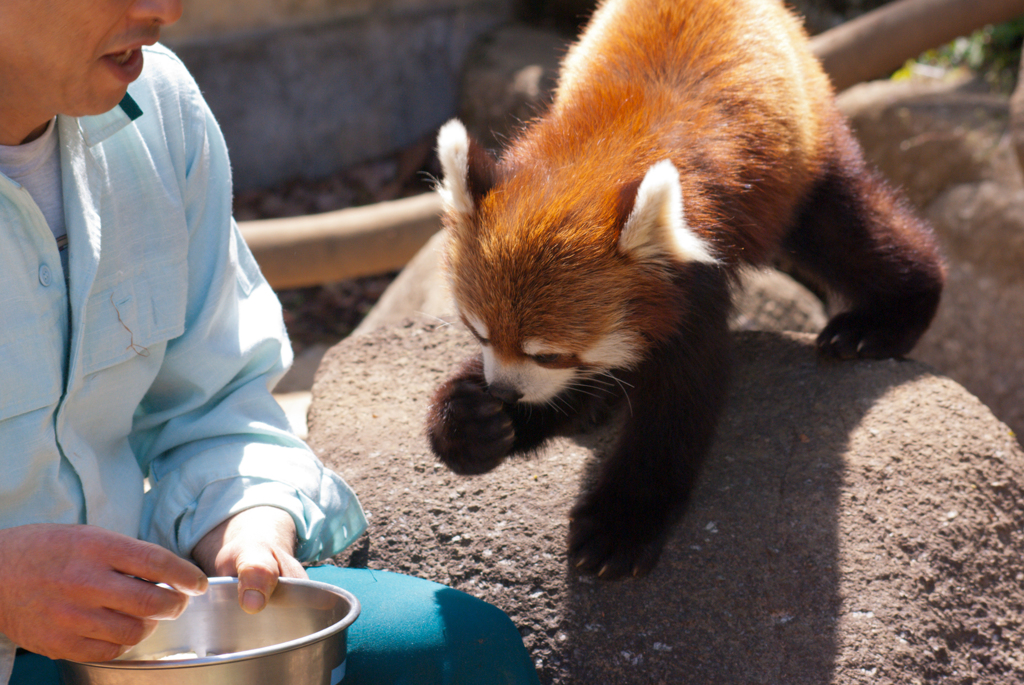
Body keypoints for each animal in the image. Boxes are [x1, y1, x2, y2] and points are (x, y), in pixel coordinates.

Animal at [421, 0, 942, 577]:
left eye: (551, 354)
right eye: (479, 333)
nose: (504, 393)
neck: (602, 145)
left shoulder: (694, 279)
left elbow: (678, 398)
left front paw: (621, 522)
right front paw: (472, 421)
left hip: (807, 147)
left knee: (848, 227)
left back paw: (884, 319)